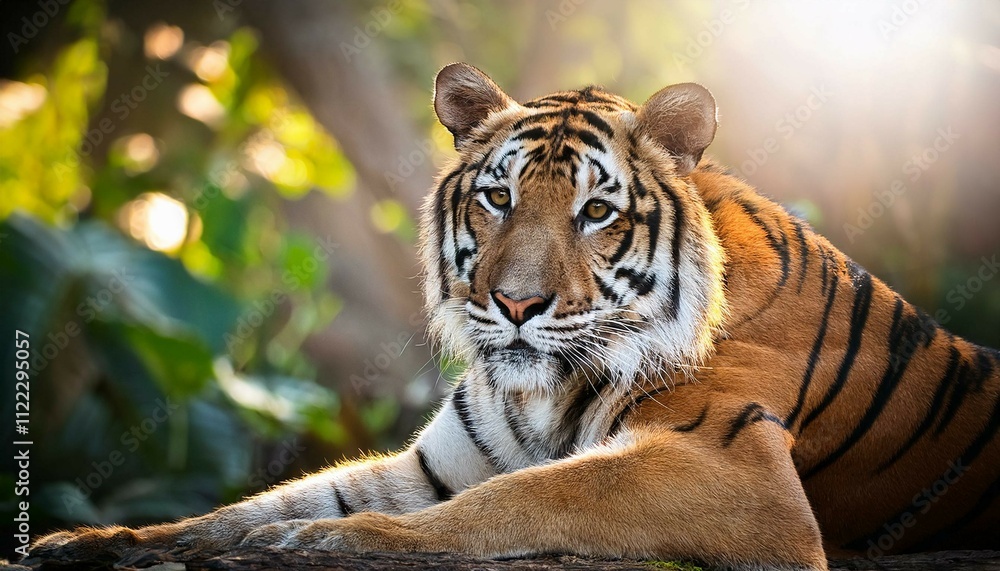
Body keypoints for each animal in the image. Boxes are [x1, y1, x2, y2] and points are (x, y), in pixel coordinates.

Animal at [29, 63, 1000, 571]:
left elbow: (525, 496)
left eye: (596, 212)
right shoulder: (434, 463)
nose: (518, 304)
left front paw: (320, 541)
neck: (541, 392)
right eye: (497, 197)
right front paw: (98, 539)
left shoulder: (736, 469)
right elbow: (246, 506)